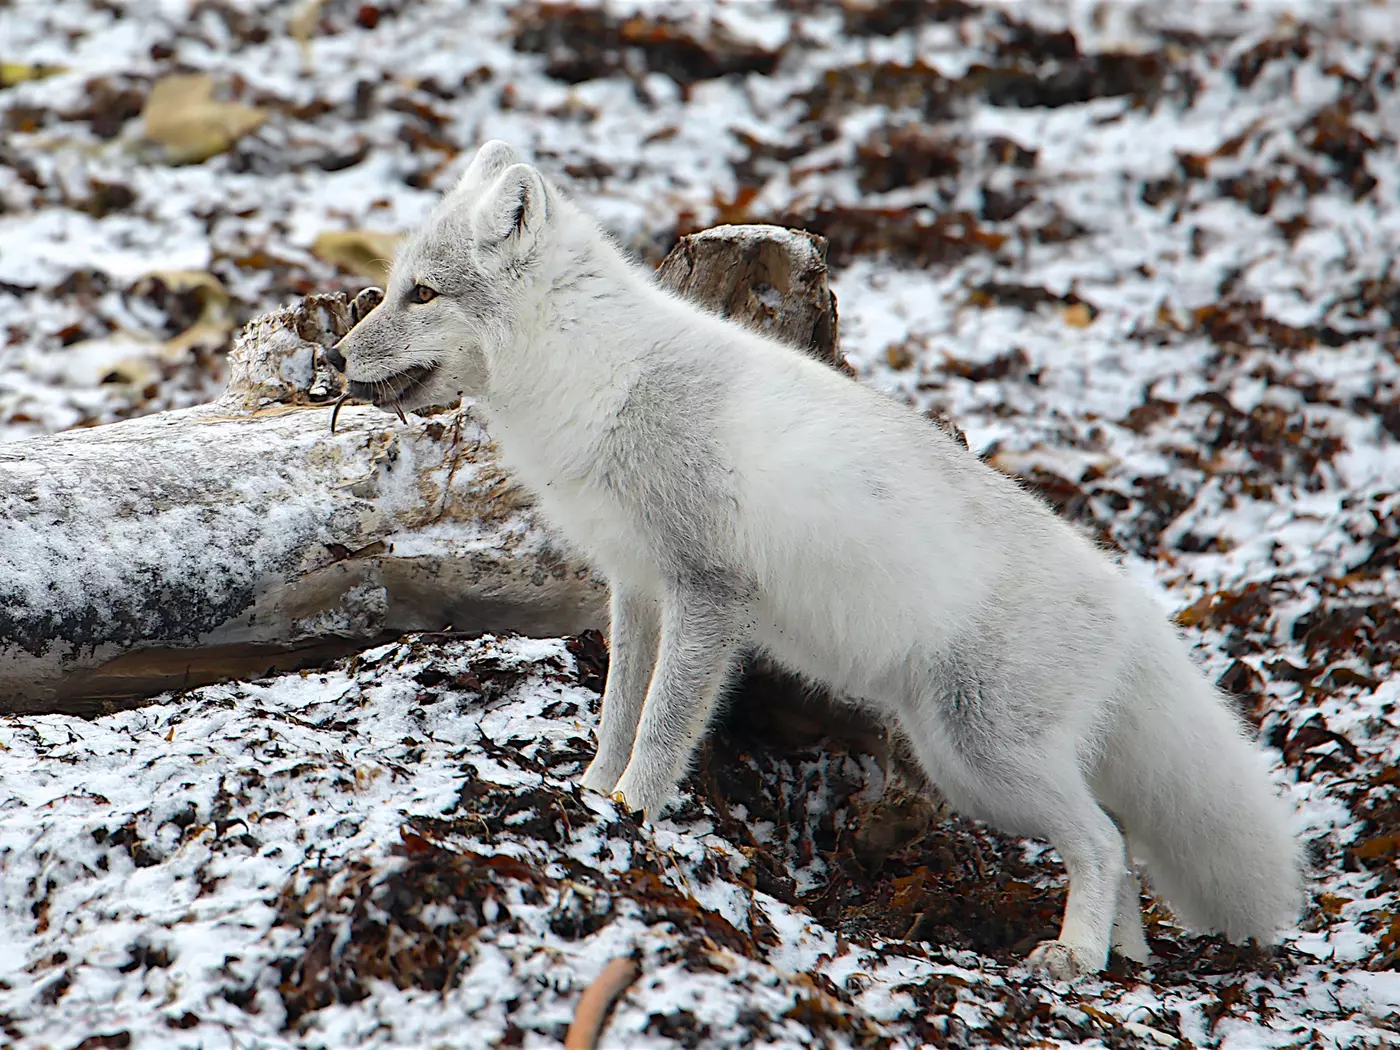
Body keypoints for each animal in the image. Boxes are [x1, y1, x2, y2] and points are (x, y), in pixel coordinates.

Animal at [326, 140, 1304, 979]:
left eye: (421, 294)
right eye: (394, 287)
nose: (334, 358)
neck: (595, 378)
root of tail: (1133, 605)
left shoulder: (706, 589)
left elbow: (663, 725)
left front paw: (632, 816)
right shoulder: (636, 587)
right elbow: (615, 714)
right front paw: (590, 797)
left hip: (982, 753)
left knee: (1103, 840)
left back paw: (1073, 956)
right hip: (968, 763)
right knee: (1122, 844)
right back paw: (1117, 960)